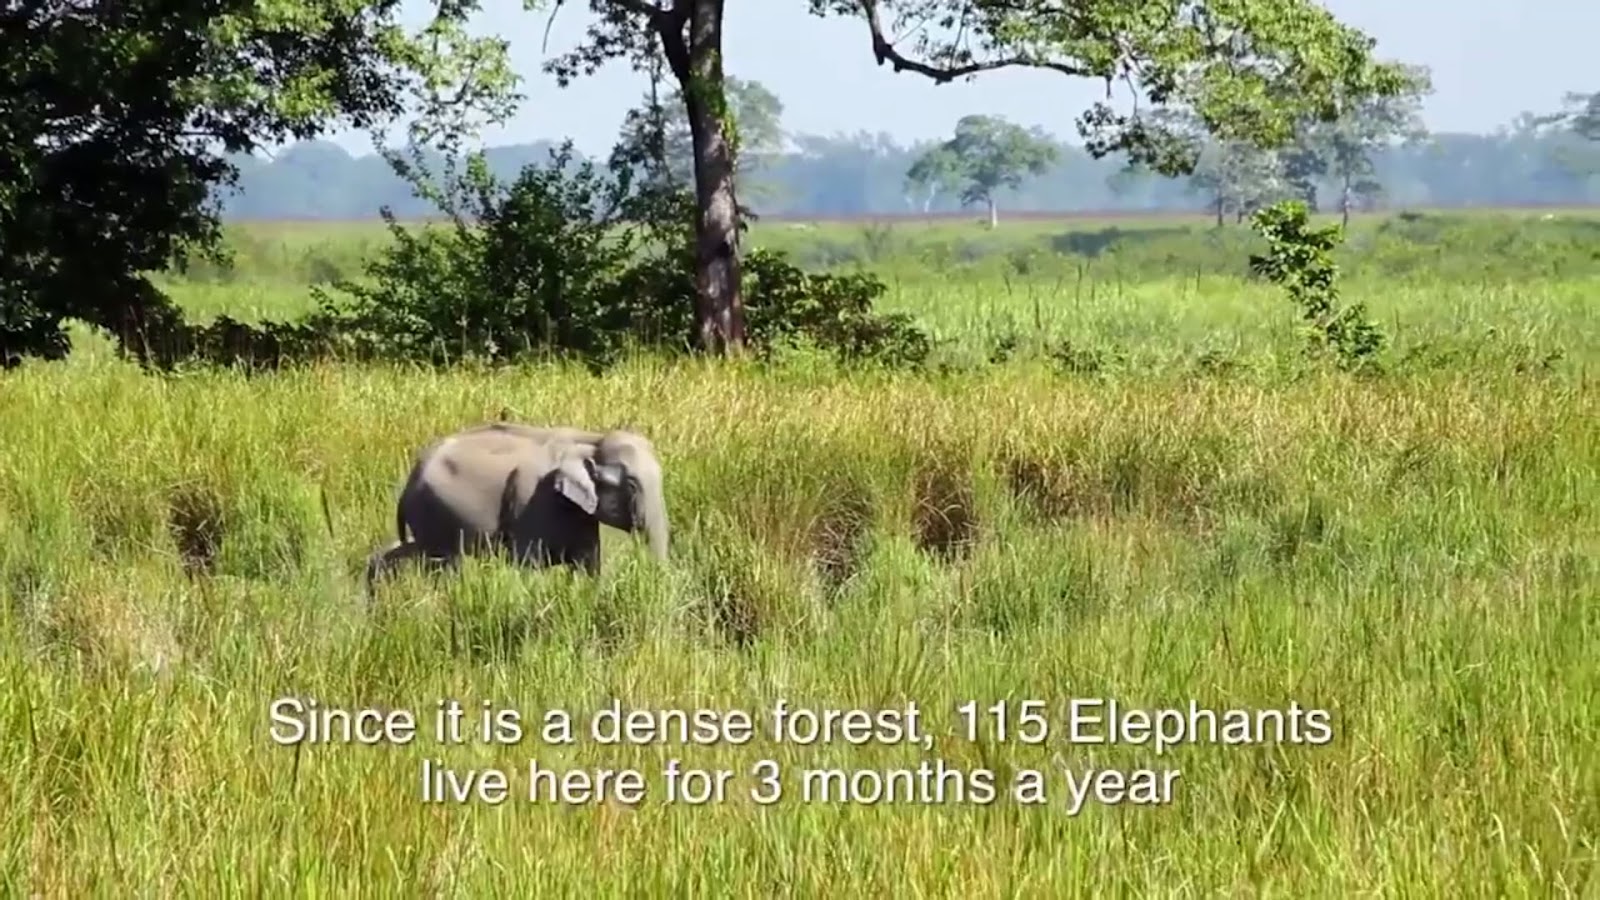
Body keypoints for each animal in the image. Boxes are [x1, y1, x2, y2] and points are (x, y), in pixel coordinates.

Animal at [364, 422, 668, 592]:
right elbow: (528, 564)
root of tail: (409, 482)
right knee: (445, 565)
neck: (591, 439)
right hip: (437, 513)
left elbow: (588, 564)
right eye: (632, 485)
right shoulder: (533, 501)